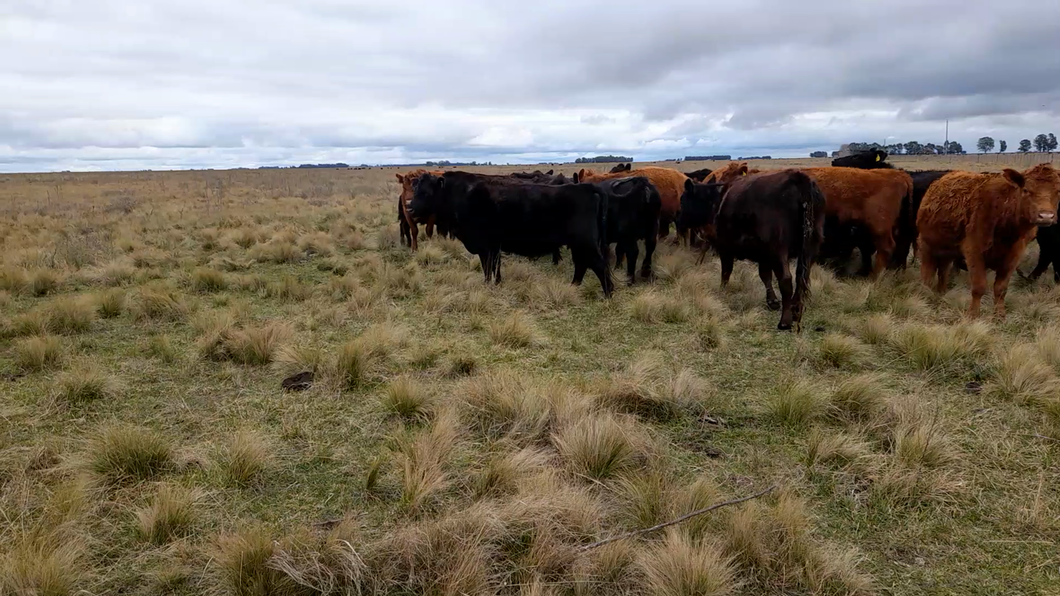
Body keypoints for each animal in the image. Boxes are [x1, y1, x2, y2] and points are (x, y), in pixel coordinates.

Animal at [409, 170, 619, 292]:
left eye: (426, 192)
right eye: (415, 189)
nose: (409, 208)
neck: (462, 194)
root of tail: (586, 187)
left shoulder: (486, 246)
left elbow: (488, 268)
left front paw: (488, 286)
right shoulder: (494, 246)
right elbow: (494, 268)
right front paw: (496, 283)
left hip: (586, 243)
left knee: (598, 265)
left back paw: (608, 294)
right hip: (578, 244)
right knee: (582, 265)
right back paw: (573, 287)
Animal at [915, 163, 1055, 316]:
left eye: (1057, 191)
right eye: (1026, 190)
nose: (1046, 216)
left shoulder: (1014, 256)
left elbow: (1001, 288)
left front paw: (999, 315)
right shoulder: (974, 252)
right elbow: (979, 287)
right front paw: (973, 314)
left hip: (947, 251)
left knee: (942, 272)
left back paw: (941, 293)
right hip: (927, 245)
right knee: (927, 273)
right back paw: (925, 294)